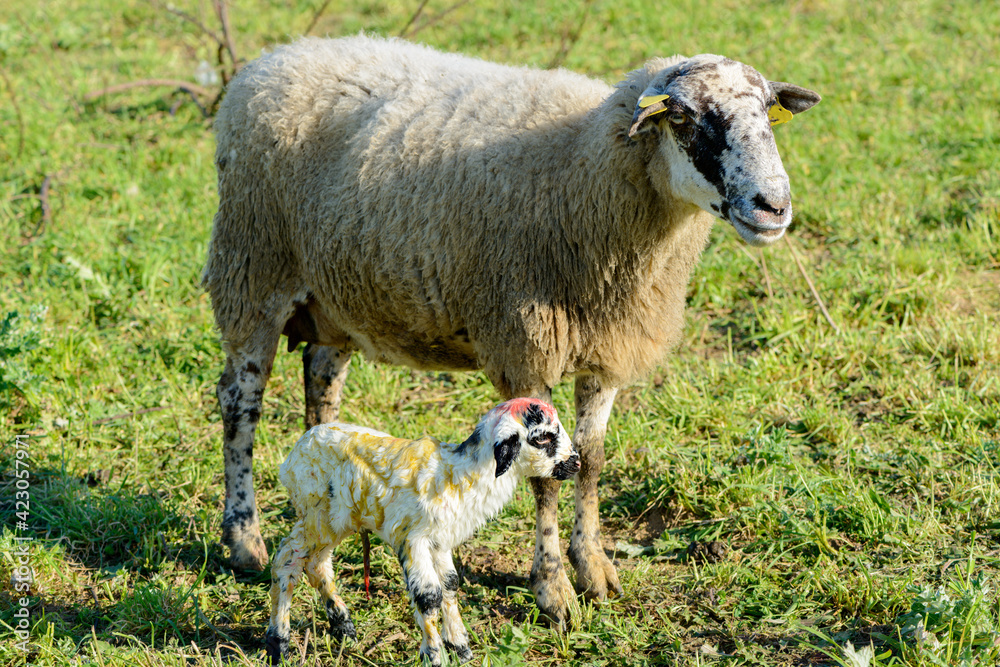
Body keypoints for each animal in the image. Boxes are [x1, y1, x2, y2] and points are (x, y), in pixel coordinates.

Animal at [202, 33, 820, 626]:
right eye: (686, 118)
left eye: (769, 114)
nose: (774, 206)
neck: (584, 166)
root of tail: (273, 58)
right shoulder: (526, 346)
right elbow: (546, 478)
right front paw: (553, 592)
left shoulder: (606, 347)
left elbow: (591, 462)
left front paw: (594, 569)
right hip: (252, 269)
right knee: (240, 404)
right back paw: (245, 541)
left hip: (338, 294)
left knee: (321, 383)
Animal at [264, 398, 580, 666]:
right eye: (543, 437)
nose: (576, 463)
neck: (461, 473)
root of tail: (294, 453)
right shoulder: (413, 539)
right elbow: (428, 597)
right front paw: (434, 655)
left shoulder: (440, 541)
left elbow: (450, 585)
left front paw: (460, 647)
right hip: (317, 514)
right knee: (286, 559)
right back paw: (279, 645)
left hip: (335, 521)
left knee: (316, 564)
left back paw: (344, 628)